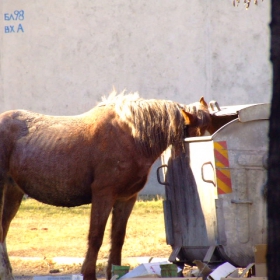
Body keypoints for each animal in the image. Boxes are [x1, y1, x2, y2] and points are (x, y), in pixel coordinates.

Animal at [0, 92, 210, 280]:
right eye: (200, 132)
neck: (131, 135)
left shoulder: (126, 198)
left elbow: (117, 238)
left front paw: (115, 272)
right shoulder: (103, 195)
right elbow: (96, 237)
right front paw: (88, 274)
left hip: (13, 192)